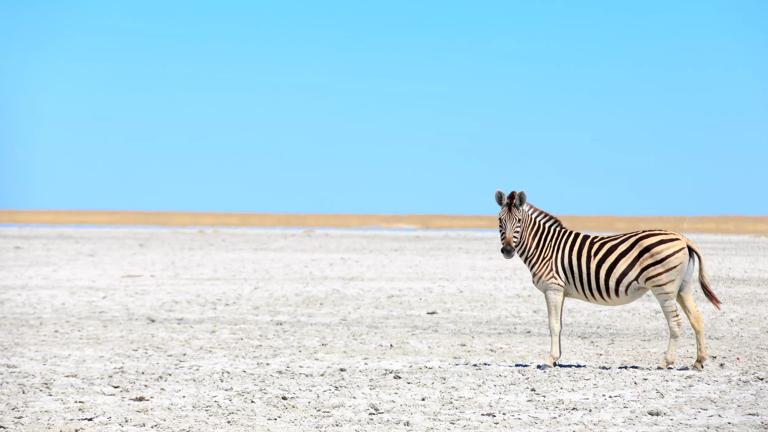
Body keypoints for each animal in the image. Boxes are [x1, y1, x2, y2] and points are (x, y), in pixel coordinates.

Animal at [496, 189, 724, 368]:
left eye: (518, 222)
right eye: (500, 221)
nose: (507, 250)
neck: (544, 246)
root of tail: (683, 238)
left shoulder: (553, 288)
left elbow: (553, 325)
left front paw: (550, 360)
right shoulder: (560, 291)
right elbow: (559, 324)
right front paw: (557, 358)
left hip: (663, 287)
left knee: (675, 322)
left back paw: (666, 362)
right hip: (682, 287)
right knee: (697, 318)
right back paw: (698, 361)